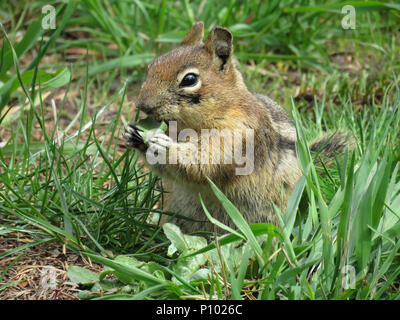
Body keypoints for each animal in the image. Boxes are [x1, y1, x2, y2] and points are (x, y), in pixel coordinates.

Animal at [123, 21, 348, 234]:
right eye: (152, 66)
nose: (142, 105)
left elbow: (202, 163)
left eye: (189, 79)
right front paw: (132, 133)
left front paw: (165, 146)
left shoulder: (236, 135)